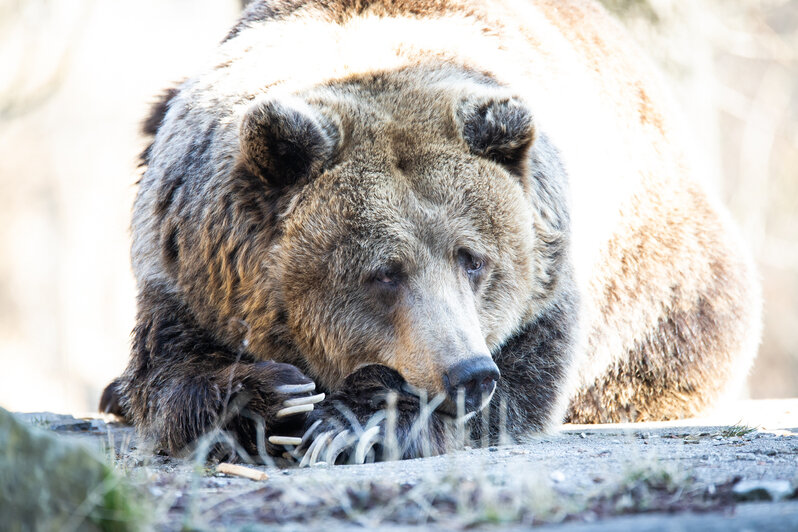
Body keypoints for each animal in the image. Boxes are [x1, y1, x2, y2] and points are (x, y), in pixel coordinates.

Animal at [100, 0, 764, 464]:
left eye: (474, 259)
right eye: (383, 272)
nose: (469, 373)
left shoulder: (550, 277)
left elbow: (523, 384)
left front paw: (355, 425)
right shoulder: (190, 265)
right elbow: (168, 376)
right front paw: (274, 393)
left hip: (664, 280)